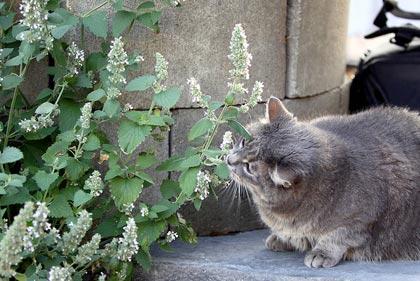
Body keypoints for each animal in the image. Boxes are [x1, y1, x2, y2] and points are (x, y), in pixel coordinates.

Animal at [226, 97, 420, 266]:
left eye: (249, 167)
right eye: (242, 142)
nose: (228, 160)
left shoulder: (361, 220)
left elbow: (338, 237)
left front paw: (321, 253)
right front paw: (282, 239)